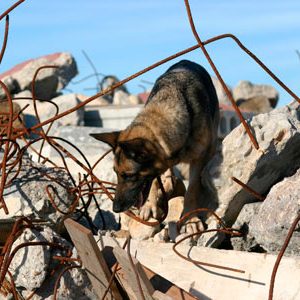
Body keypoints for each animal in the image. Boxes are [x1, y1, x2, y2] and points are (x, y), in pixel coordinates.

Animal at [90, 59, 219, 234]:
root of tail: (186, 60)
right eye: (116, 173)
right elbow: (153, 183)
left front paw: (190, 219)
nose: (115, 209)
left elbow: (192, 190)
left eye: (129, 175)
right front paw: (150, 206)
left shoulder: (198, 160)